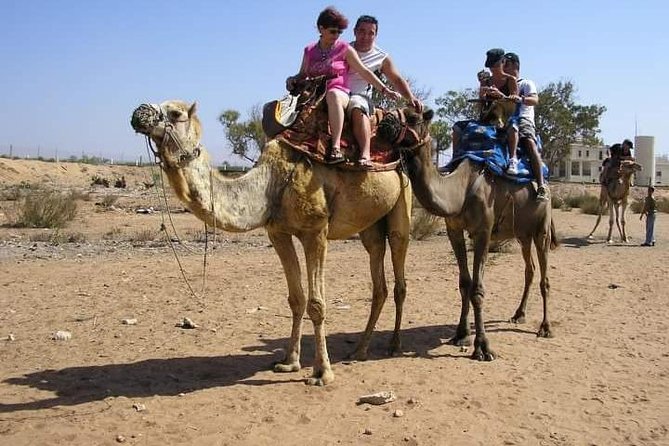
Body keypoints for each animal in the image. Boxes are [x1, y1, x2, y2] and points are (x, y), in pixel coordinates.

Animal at [131, 99, 412, 386]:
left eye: (175, 113)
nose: (139, 112)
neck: (271, 183)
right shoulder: (278, 234)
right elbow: (296, 299)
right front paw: (289, 362)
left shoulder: (316, 231)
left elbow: (317, 304)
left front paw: (322, 372)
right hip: (370, 225)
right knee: (378, 278)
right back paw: (360, 350)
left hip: (403, 201)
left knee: (399, 269)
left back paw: (394, 345)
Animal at [378, 108, 556, 362]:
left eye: (412, 117)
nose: (383, 123)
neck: (460, 191)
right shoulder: (454, 230)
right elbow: (464, 283)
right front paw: (461, 335)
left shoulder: (483, 231)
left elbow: (478, 289)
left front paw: (483, 347)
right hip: (522, 233)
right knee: (529, 269)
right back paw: (518, 314)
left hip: (542, 228)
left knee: (545, 277)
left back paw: (545, 327)